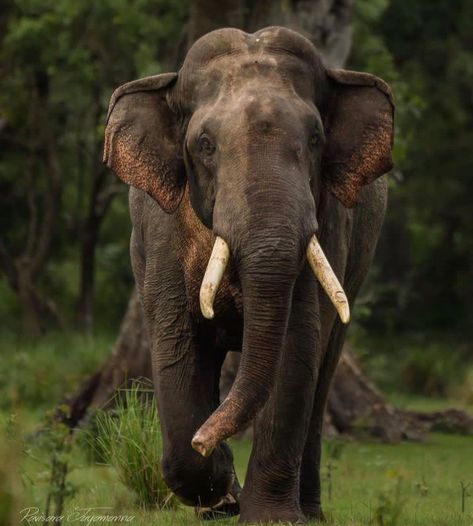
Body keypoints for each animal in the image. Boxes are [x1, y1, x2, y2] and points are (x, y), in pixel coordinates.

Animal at [104, 26, 394, 524]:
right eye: (205, 143)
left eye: (315, 138)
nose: (206, 439)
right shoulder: (162, 234)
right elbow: (179, 344)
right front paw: (221, 492)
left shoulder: (328, 222)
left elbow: (296, 347)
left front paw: (268, 517)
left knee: (323, 371)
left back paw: (308, 511)